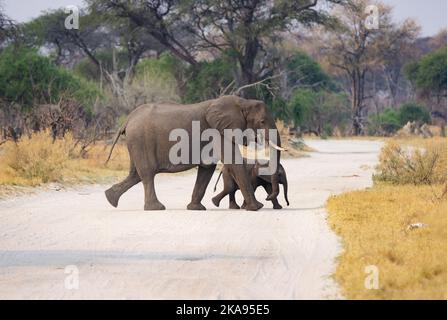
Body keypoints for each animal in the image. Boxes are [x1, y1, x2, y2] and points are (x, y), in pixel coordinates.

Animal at [105, 94, 284, 212]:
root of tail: (127, 119)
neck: (243, 102)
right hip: (141, 140)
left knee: (135, 174)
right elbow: (233, 162)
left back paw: (110, 199)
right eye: (262, 121)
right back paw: (155, 208)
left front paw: (196, 208)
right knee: (147, 173)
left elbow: (207, 168)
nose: (268, 197)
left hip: (136, 142)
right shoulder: (218, 131)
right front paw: (256, 208)